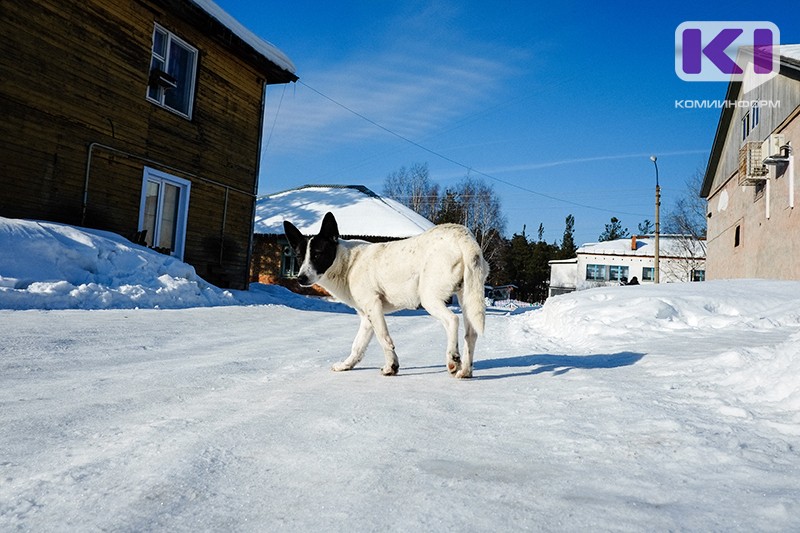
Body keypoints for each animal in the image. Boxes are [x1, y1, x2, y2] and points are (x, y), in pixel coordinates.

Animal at [284, 212, 490, 378]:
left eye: (317, 254)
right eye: (299, 257)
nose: (301, 278)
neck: (348, 263)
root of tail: (462, 235)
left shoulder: (373, 306)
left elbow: (384, 339)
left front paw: (391, 367)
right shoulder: (366, 317)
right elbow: (357, 346)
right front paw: (346, 365)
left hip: (429, 298)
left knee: (452, 320)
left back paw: (453, 359)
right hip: (467, 297)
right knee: (471, 334)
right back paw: (465, 371)